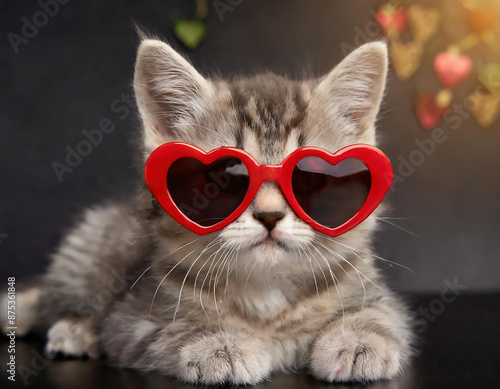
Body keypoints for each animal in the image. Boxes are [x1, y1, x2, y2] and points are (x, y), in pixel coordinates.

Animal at [1, 38, 412, 384]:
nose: (269, 216)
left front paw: (359, 339)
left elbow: (383, 314)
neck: (265, 292)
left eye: (309, 179)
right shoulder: (131, 320)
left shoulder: (376, 294)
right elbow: (172, 327)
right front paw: (218, 344)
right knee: (56, 300)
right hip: (90, 250)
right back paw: (75, 330)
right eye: (223, 178)